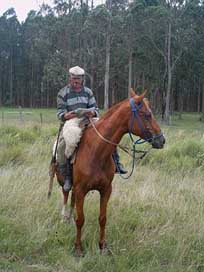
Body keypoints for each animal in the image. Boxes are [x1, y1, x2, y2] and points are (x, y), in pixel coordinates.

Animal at [48, 89, 165, 255]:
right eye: (147, 114)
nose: (162, 140)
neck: (96, 151)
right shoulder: (81, 189)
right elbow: (80, 219)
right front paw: (78, 248)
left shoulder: (106, 190)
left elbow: (102, 218)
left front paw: (102, 246)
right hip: (64, 181)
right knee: (65, 195)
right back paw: (64, 218)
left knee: (72, 200)